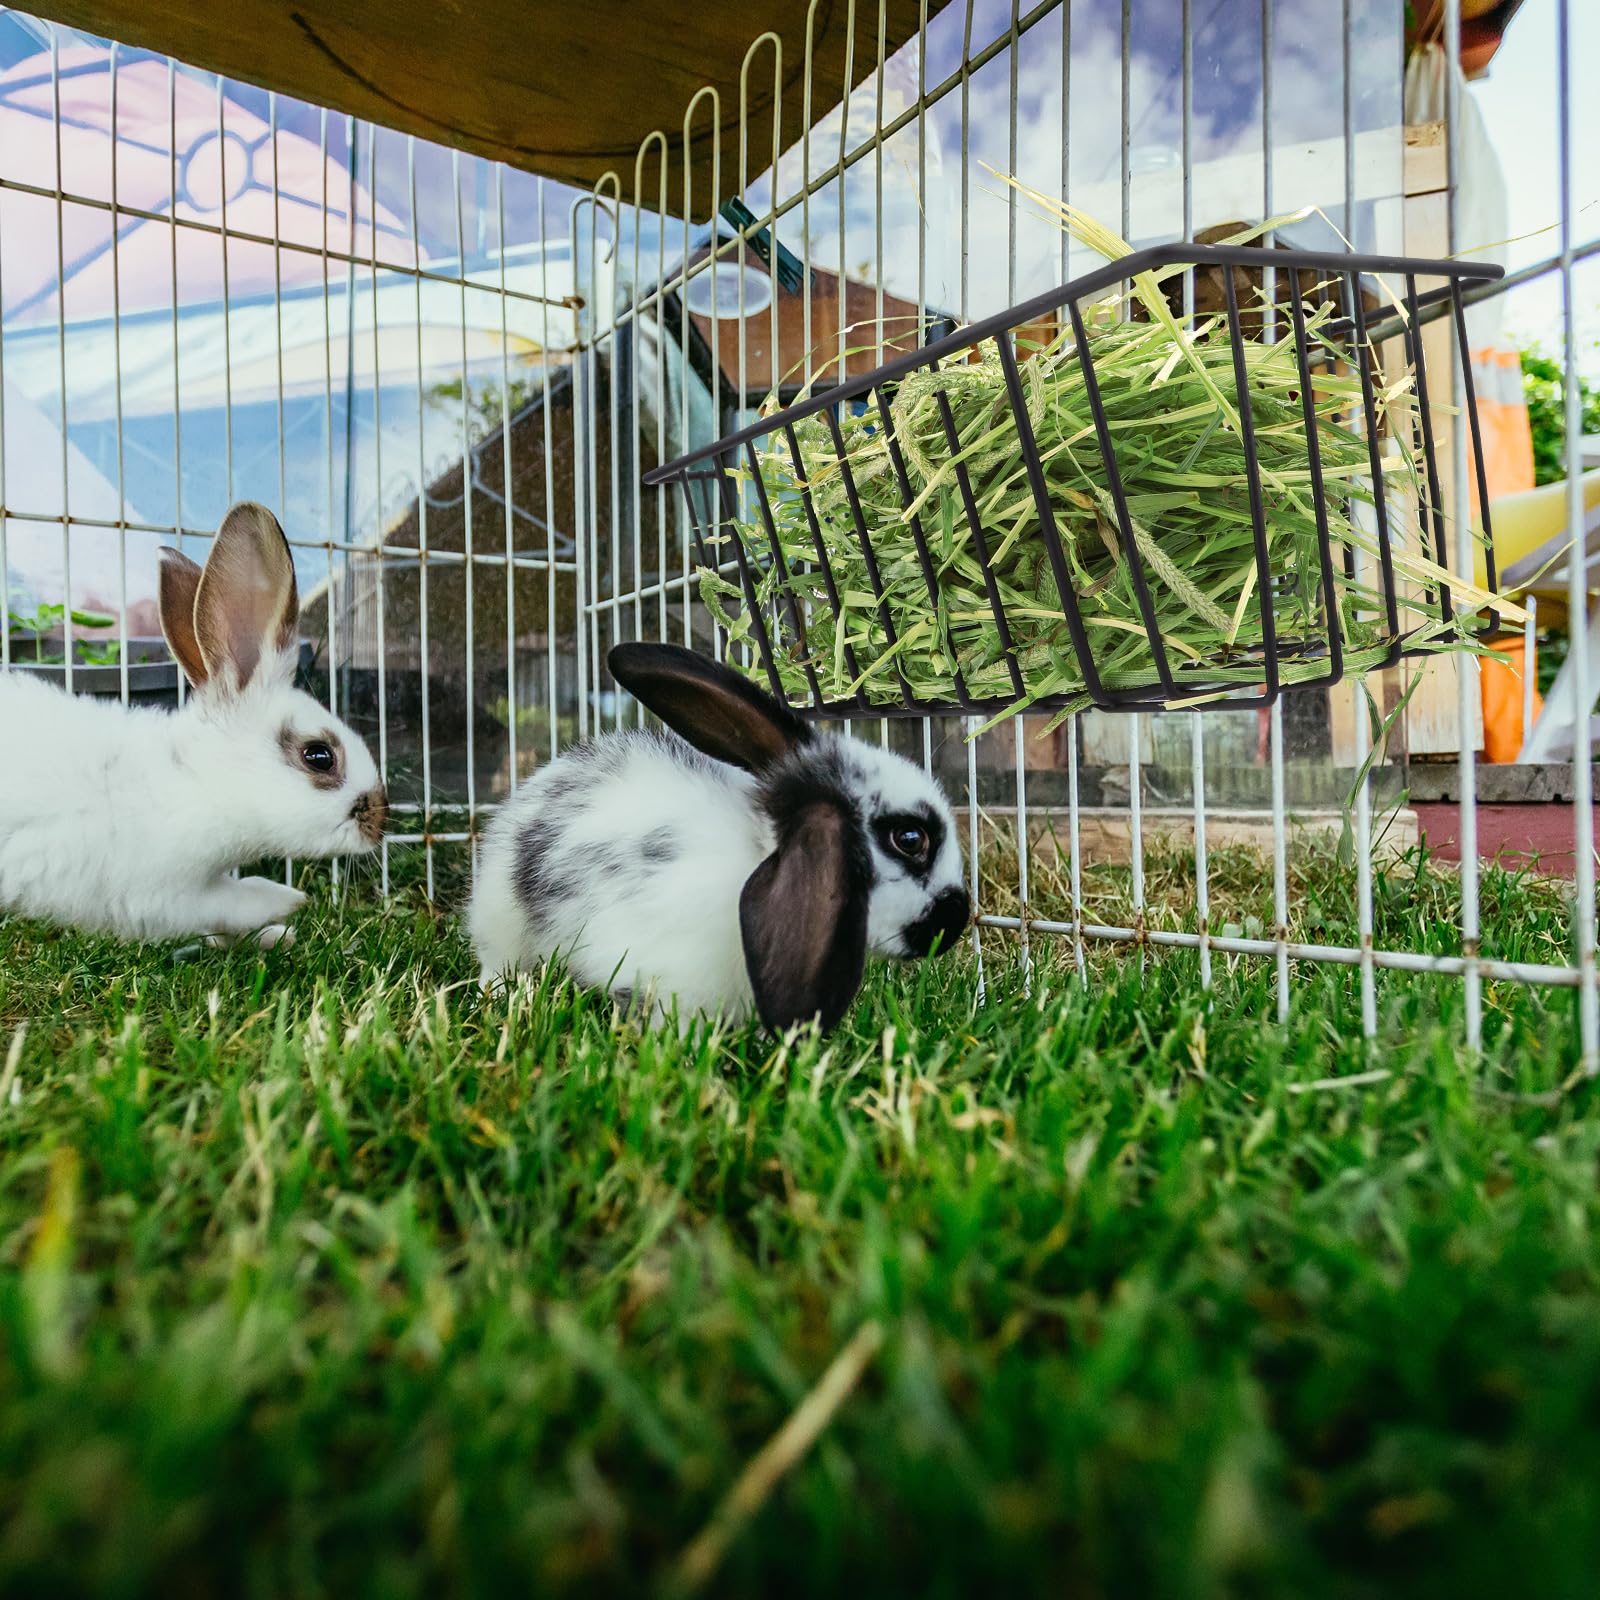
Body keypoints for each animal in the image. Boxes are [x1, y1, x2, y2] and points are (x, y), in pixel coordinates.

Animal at [0, 501, 387, 946]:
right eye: (319, 756)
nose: (380, 823)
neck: (194, 780)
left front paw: (274, 935)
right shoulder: (164, 896)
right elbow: (235, 902)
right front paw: (286, 902)